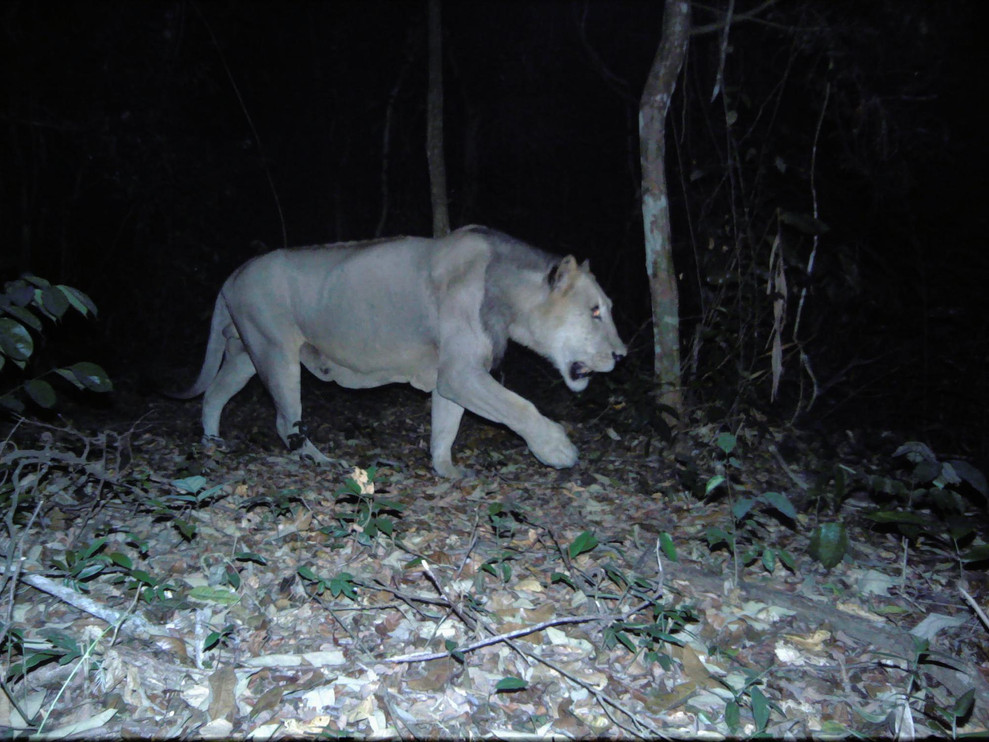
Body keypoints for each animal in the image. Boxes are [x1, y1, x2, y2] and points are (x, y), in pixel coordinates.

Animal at [166, 227, 620, 480]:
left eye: (607, 309)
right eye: (595, 311)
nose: (621, 354)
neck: (508, 295)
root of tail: (234, 273)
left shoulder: (451, 375)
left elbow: (446, 426)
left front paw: (446, 470)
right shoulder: (461, 373)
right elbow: (519, 406)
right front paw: (558, 450)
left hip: (245, 353)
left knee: (214, 395)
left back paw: (212, 442)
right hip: (275, 352)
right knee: (284, 421)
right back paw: (321, 460)